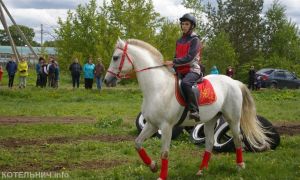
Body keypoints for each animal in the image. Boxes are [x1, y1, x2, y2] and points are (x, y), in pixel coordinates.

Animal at [104, 38, 270, 179]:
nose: (106, 80)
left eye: (115, 57)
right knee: (210, 142)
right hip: (211, 120)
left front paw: (161, 176)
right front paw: (153, 166)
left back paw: (240, 166)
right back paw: (201, 170)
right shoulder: (152, 124)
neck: (157, 88)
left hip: (233, 119)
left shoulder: (166, 127)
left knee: (237, 139)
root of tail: (234, 82)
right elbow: (137, 144)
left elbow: (164, 153)